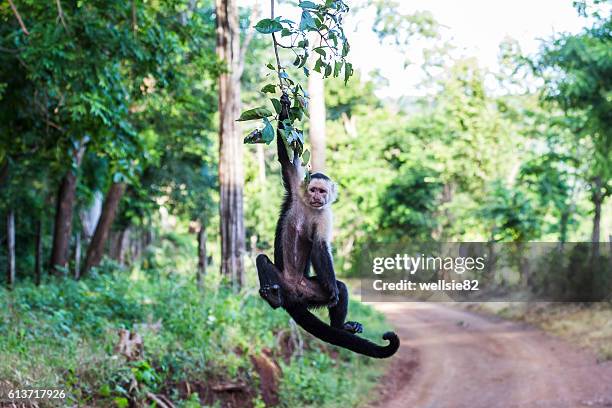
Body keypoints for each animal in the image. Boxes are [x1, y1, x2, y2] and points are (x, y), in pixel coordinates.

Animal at [256, 92, 400, 356]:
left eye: (322, 192)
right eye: (313, 189)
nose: (317, 197)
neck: (309, 205)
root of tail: (292, 297)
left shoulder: (326, 214)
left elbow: (321, 247)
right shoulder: (297, 187)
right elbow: (286, 159)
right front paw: (285, 103)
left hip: (309, 293)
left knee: (340, 289)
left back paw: (340, 326)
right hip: (281, 282)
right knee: (262, 260)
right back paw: (273, 299)